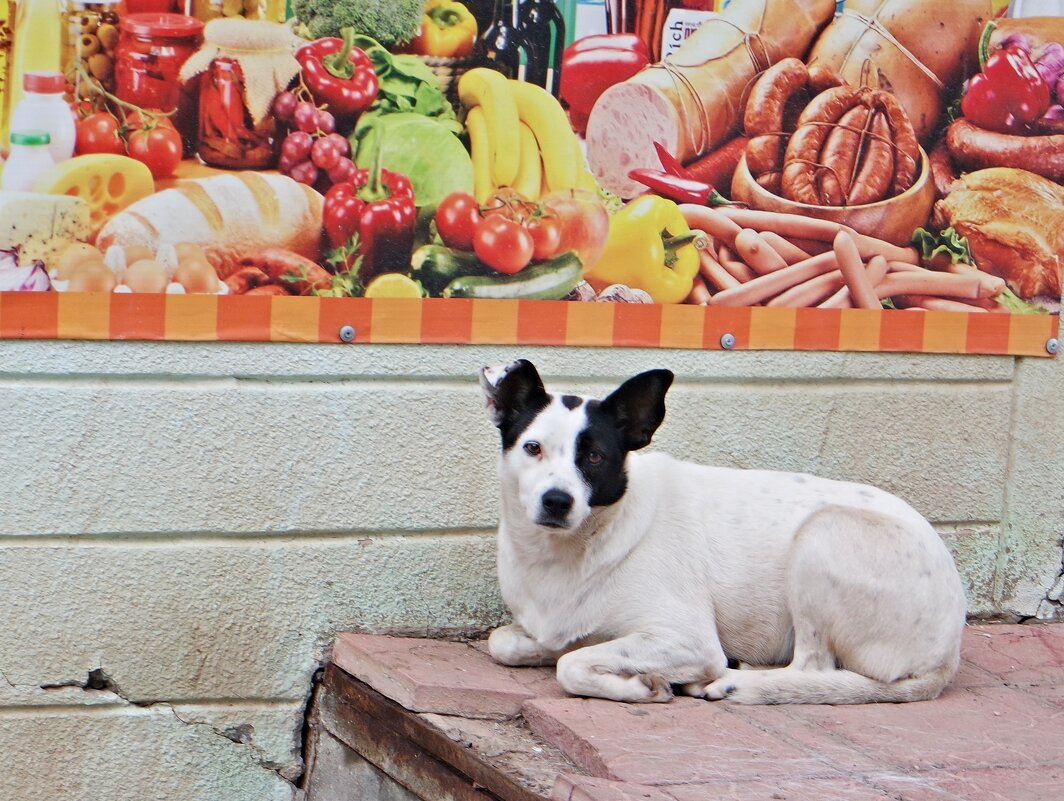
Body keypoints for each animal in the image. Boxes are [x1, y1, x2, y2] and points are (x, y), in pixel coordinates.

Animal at [478, 359, 970, 702]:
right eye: (533, 448)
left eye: (595, 457)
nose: (556, 501)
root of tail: (947, 654)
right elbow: (505, 642)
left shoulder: (689, 641)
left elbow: (571, 665)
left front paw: (640, 686)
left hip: (822, 534)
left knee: (814, 668)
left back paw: (734, 684)